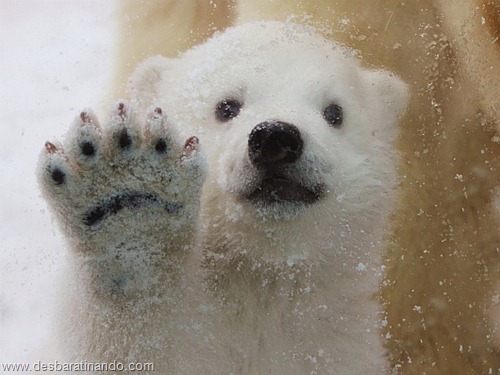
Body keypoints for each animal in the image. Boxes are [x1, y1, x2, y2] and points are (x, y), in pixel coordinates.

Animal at [38, 21, 406, 375]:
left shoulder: (337, 343)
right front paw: (128, 204)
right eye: (226, 106)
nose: (276, 138)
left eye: (335, 112)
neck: (261, 277)